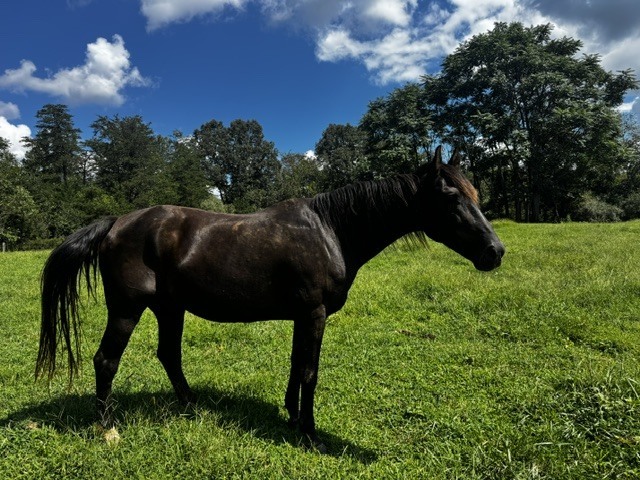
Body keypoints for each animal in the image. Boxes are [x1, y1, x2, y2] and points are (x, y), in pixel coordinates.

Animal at [36, 146, 504, 452]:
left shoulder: (303, 316)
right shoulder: (314, 313)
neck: (330, 231)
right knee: (106, 361)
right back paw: (108, 430)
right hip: (126, 310)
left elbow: (297, 367)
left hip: (170, 308)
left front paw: (293, 418)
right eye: (450, 198)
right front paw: (311, 436)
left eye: (475, 195)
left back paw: (193, 408)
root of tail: (118, 223)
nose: (495, 252)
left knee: (169, 355)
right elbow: (311, 371)